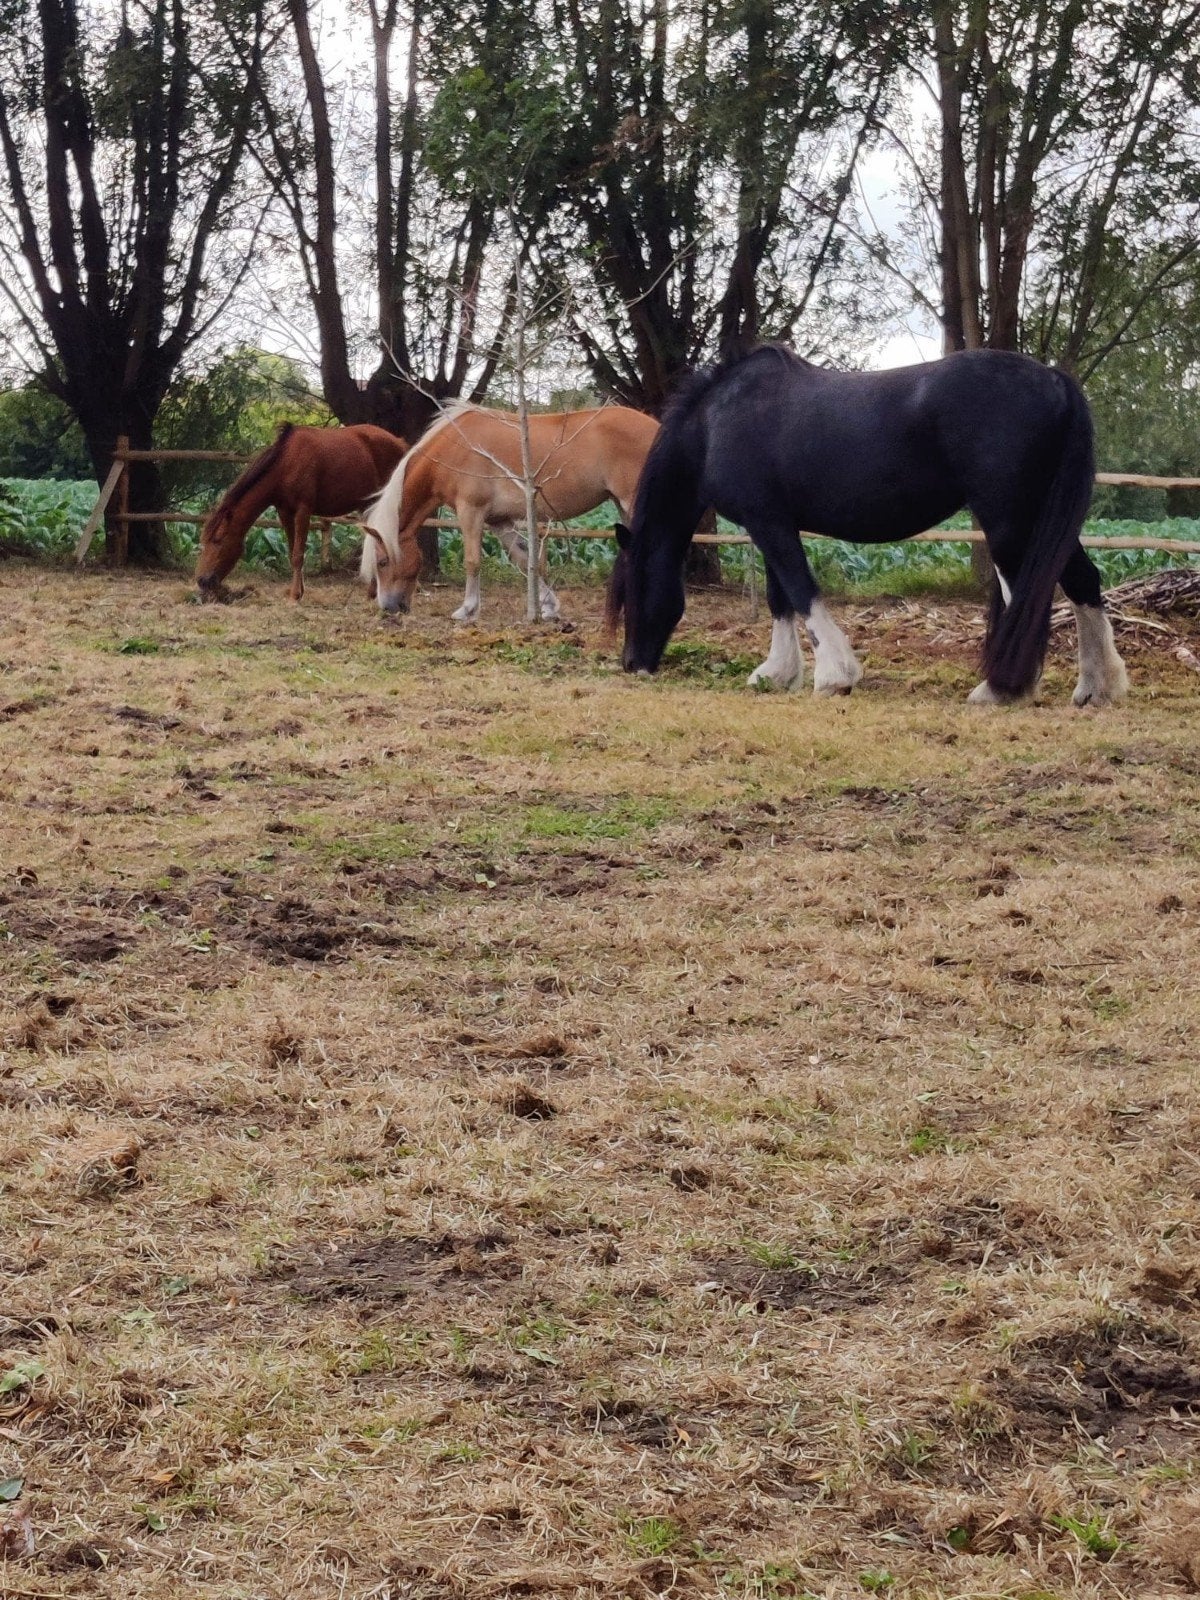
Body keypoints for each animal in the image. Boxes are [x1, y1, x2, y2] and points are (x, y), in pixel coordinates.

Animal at [196, 422, 408, 601]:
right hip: (367, 505)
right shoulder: (284, 512)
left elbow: (298, 554)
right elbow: (292, 553)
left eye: (218, 540)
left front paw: (295, 595)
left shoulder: (303, 511)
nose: (202, 581)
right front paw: (297, 590)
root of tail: (400, 443)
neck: (286, 465)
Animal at [361, 402, 659, 620]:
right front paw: (548, 607)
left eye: (383, 562)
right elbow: (524, 559)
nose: (387, 607)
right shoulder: (500, 521)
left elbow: (472, 561)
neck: (453, 448)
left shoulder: (471, 512)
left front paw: (467, 610)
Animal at [606, 344, 1128, 707]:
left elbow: (801, 591)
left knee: (1026, 594)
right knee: (1082, 581)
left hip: (1009, 520)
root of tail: (1055, 380)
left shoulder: (768, 523)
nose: (632, 664)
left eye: (634, 588)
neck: (714, 425)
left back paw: (1001, 689)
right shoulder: (772, 522)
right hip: (1041, 518)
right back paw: (1096, 687)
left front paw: (834, 677)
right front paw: (777, 674)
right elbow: (779, 599)